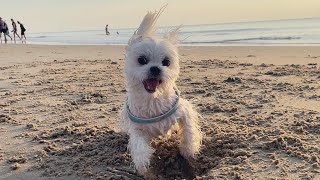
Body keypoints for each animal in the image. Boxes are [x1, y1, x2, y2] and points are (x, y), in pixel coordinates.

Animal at [120, 7, 202, 175]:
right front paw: (142, 164)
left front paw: (188, 149)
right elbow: (138, 143)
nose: (155, 68)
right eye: (142, 60)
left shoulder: (184, 110)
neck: (152, 99)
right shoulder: (137, 128)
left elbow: (189, 130)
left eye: (166, 62)